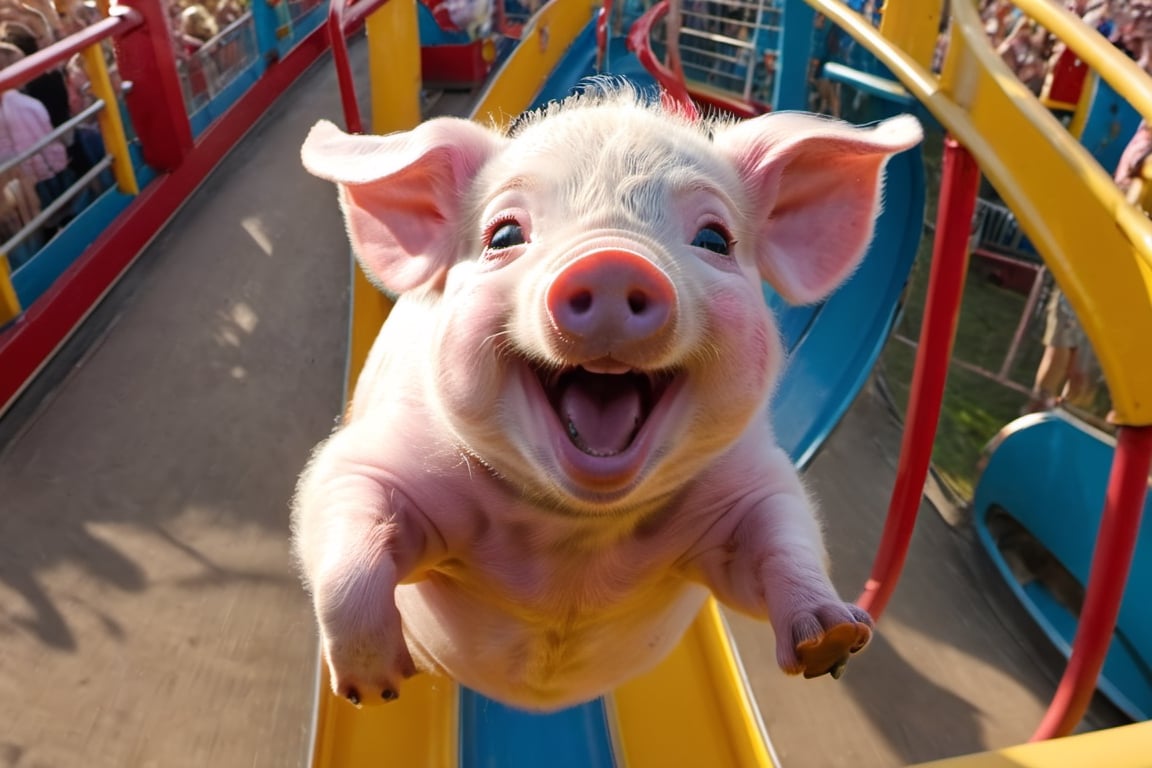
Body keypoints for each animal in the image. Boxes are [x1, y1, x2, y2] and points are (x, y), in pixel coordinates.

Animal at [293, 85, 922, 712]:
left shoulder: (754, 484)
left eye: (715, 239)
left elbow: (783, 540)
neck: (575, 535)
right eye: (504, 236)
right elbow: (344, 535)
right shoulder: (369, 458)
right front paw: (372, 689)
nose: (613, 261)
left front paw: (835, 640)